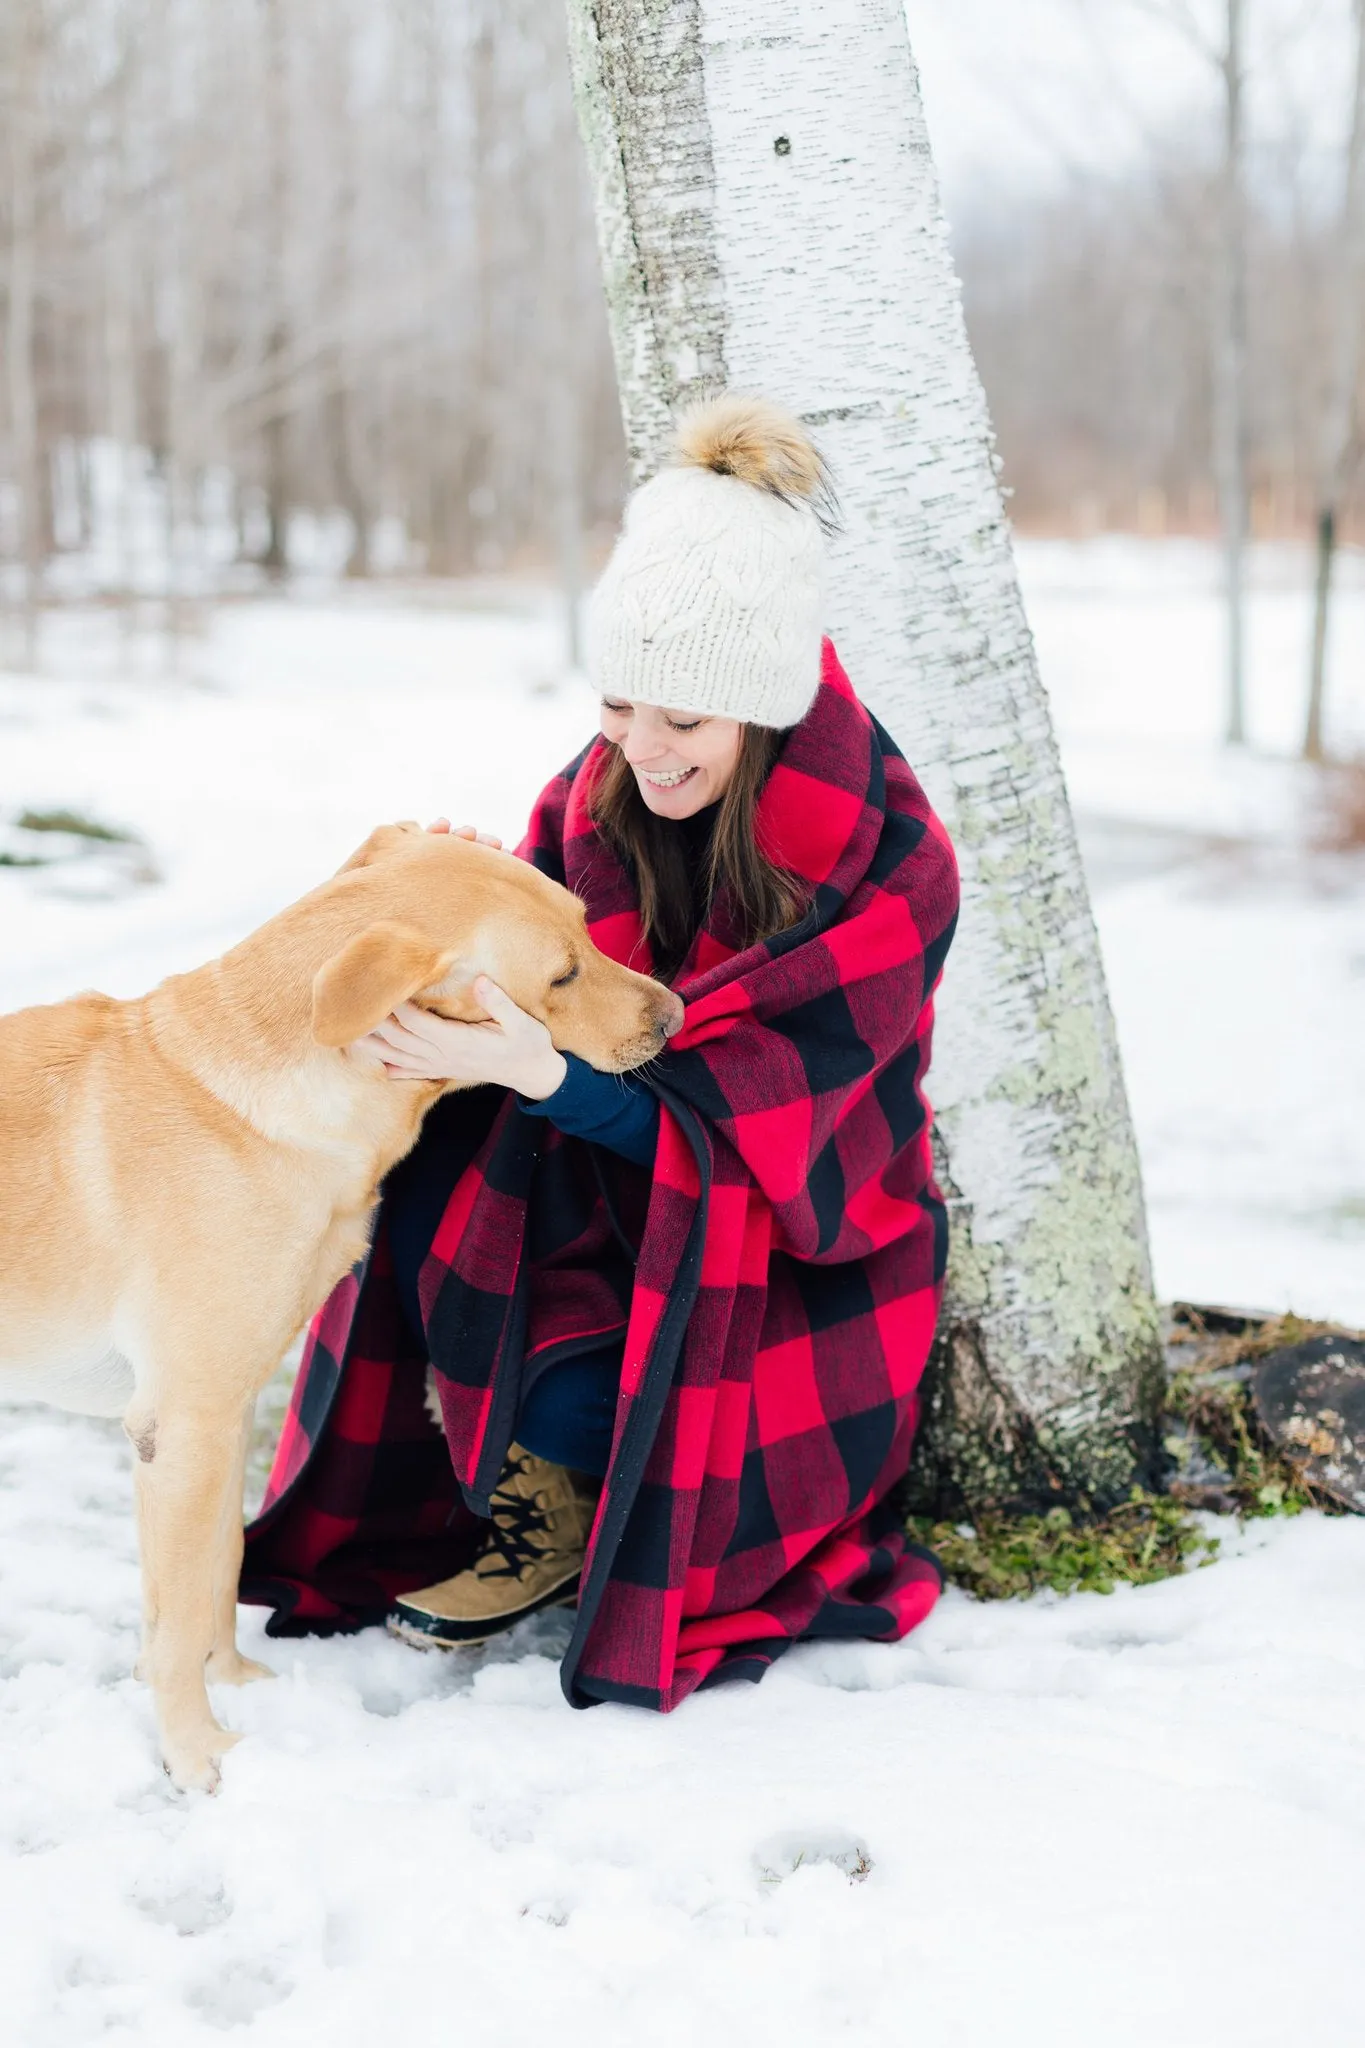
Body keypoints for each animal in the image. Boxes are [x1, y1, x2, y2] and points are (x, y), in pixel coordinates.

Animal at [0, 823, 683, 1785]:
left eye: (589, 928)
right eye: (560, 976)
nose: (677, 1017)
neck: (251, 1100)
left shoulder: (220, 1413)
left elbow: (214, 1571)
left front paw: (234, 1681)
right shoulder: (186, 1422)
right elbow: (182, 1609)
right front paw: (196, 1753)